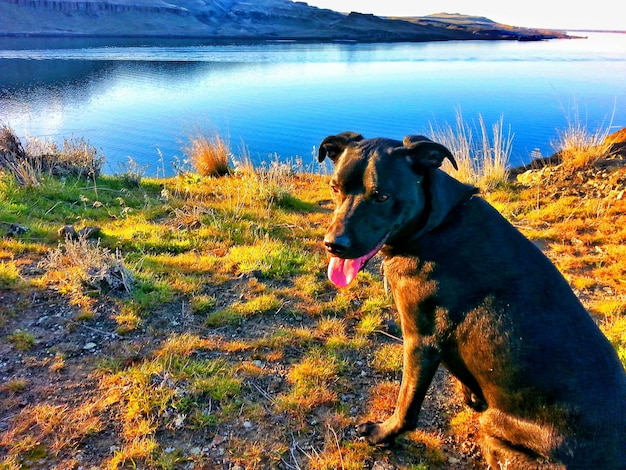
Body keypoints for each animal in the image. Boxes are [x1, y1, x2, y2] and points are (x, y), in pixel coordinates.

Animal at [320, 132, 624, 470]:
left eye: (382, 197)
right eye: (335, 188)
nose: (333, 245)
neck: (436, 224)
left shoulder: (420, 341)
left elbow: (407, 402)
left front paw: (383, 433)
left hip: (495, 430)